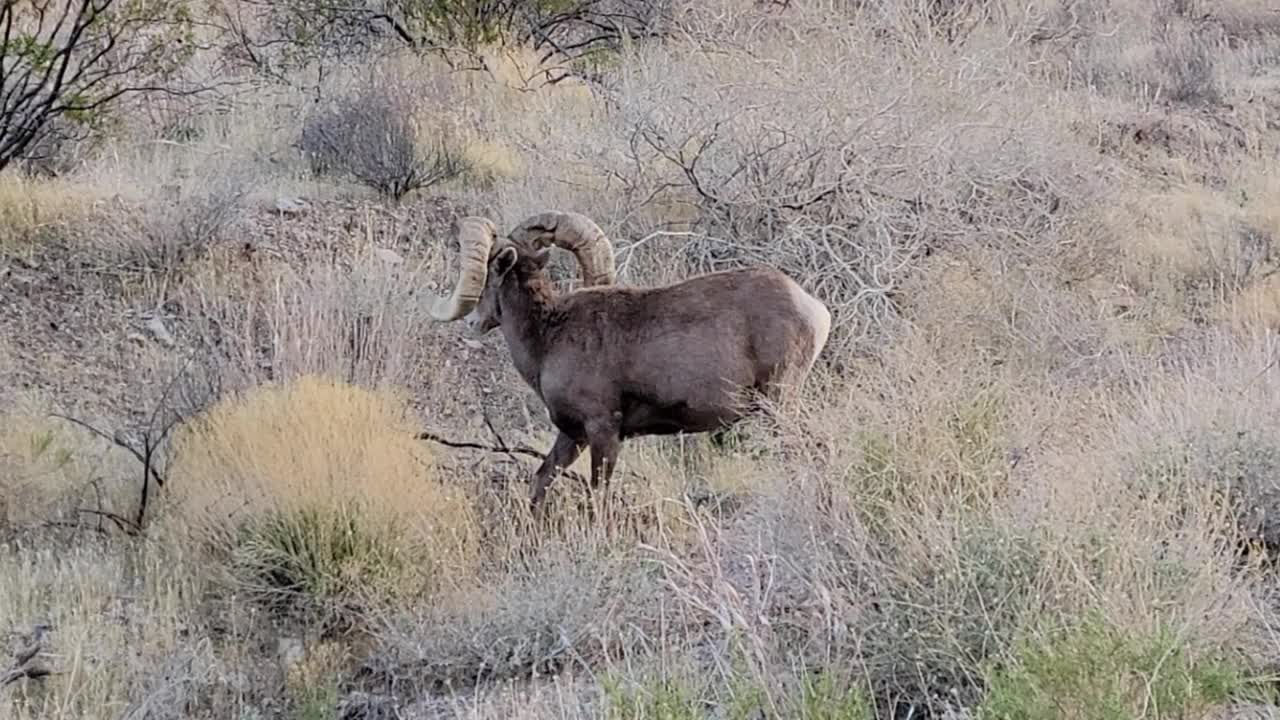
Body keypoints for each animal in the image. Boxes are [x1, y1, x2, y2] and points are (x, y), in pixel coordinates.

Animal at [427, 211, 829, 504]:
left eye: (488, 276)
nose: (475, 322)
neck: (548, 335)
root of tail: (814, 310)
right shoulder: (572, 435)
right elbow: (541, 480)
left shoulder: (603, 431)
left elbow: (599, 495)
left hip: (779, 401)